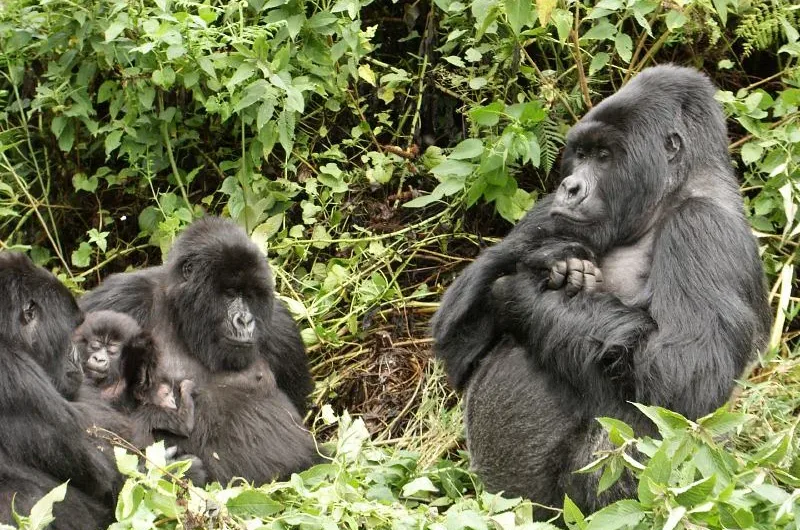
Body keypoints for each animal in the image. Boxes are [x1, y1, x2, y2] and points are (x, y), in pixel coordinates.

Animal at [434, 66, 772, 516]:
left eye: (605, 156)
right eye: (582, 154)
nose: (571, 187)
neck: (673, 190)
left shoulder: (703, 226)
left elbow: (685, 378)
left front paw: (521, 293)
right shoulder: (549, 211)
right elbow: (456, 343)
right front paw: (546, 256)